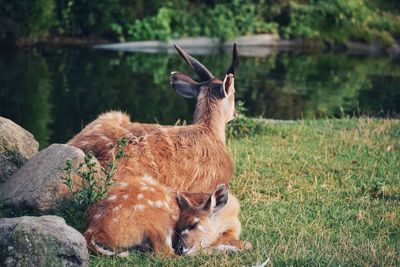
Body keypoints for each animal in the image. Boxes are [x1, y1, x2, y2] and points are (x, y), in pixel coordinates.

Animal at [83, 176, 250, 258]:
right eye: (178, 227)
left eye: (194, 224)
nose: (181, 247)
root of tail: (93, 232)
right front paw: (238, 247)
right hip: (157, 221)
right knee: (166, 255)